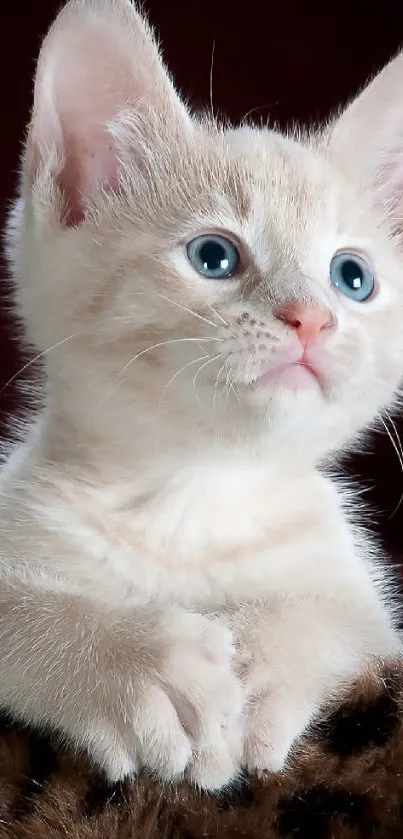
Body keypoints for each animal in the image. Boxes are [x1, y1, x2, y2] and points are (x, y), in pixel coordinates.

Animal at [0, 0, 403, 792]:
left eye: (353, 277)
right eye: (213, 257)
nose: (312, 317)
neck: (192, 495)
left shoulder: (371, 615)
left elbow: (337, 617)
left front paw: (262, 668)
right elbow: (16, 610)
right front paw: (131, 664)